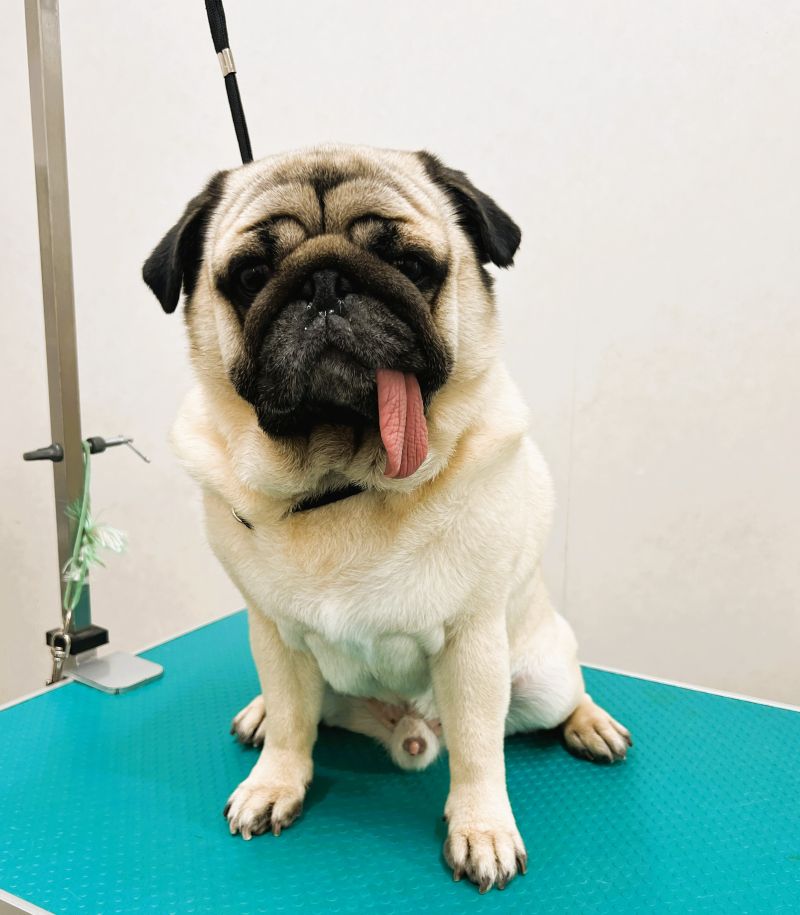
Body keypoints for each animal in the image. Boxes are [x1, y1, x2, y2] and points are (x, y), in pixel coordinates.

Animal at [143, 145, 631, 892]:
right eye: (252, 276)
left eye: (410, 265)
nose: (324, 282)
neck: (343, 483)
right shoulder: (273, 636)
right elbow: (291, 724)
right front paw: (275, 782)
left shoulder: (471, 643)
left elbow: (480, 753)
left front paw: (482, 828)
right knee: (298, 712)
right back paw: (260, 716)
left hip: (540, 673)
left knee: (555, 700)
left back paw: (591, 723)